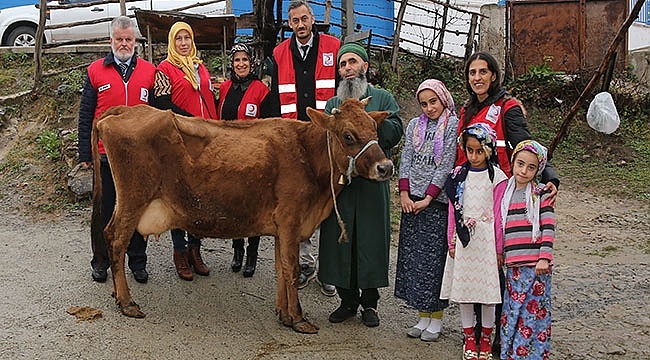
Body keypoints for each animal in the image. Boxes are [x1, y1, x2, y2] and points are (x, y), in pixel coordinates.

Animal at [92, 97, 392, 334]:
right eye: (348, 135)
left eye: (374, 128)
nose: (386, 167)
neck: (307, 154)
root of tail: (125, 110)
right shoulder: (291, 219)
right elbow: (292, 269)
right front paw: (298, 318)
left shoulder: (282, 226)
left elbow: (281, 268)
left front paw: (284, 314)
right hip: (134, 199)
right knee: (116, 240)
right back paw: (127, 302)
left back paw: (119, 295)